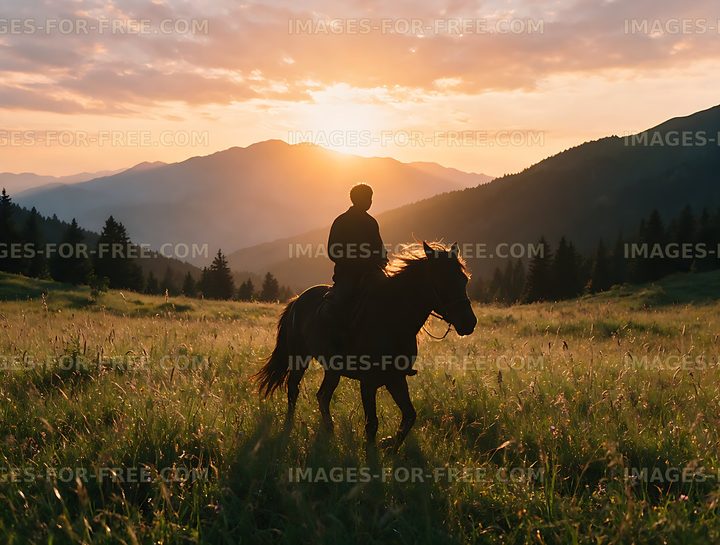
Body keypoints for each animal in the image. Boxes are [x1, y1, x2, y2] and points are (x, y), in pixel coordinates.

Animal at [253, 241, 477, 451]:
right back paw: (289, 425)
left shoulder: (396, 379)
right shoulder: (368, 382)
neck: (393, 321)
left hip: (332, 370)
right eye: (442, 280)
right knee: (293, 390)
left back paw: (329, 430)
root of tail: (297, 300)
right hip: (299, 358)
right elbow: (372, 424)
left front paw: (389, 446)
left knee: (323, 396)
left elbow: (409, 416)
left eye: (464, 280)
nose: (469, 322)